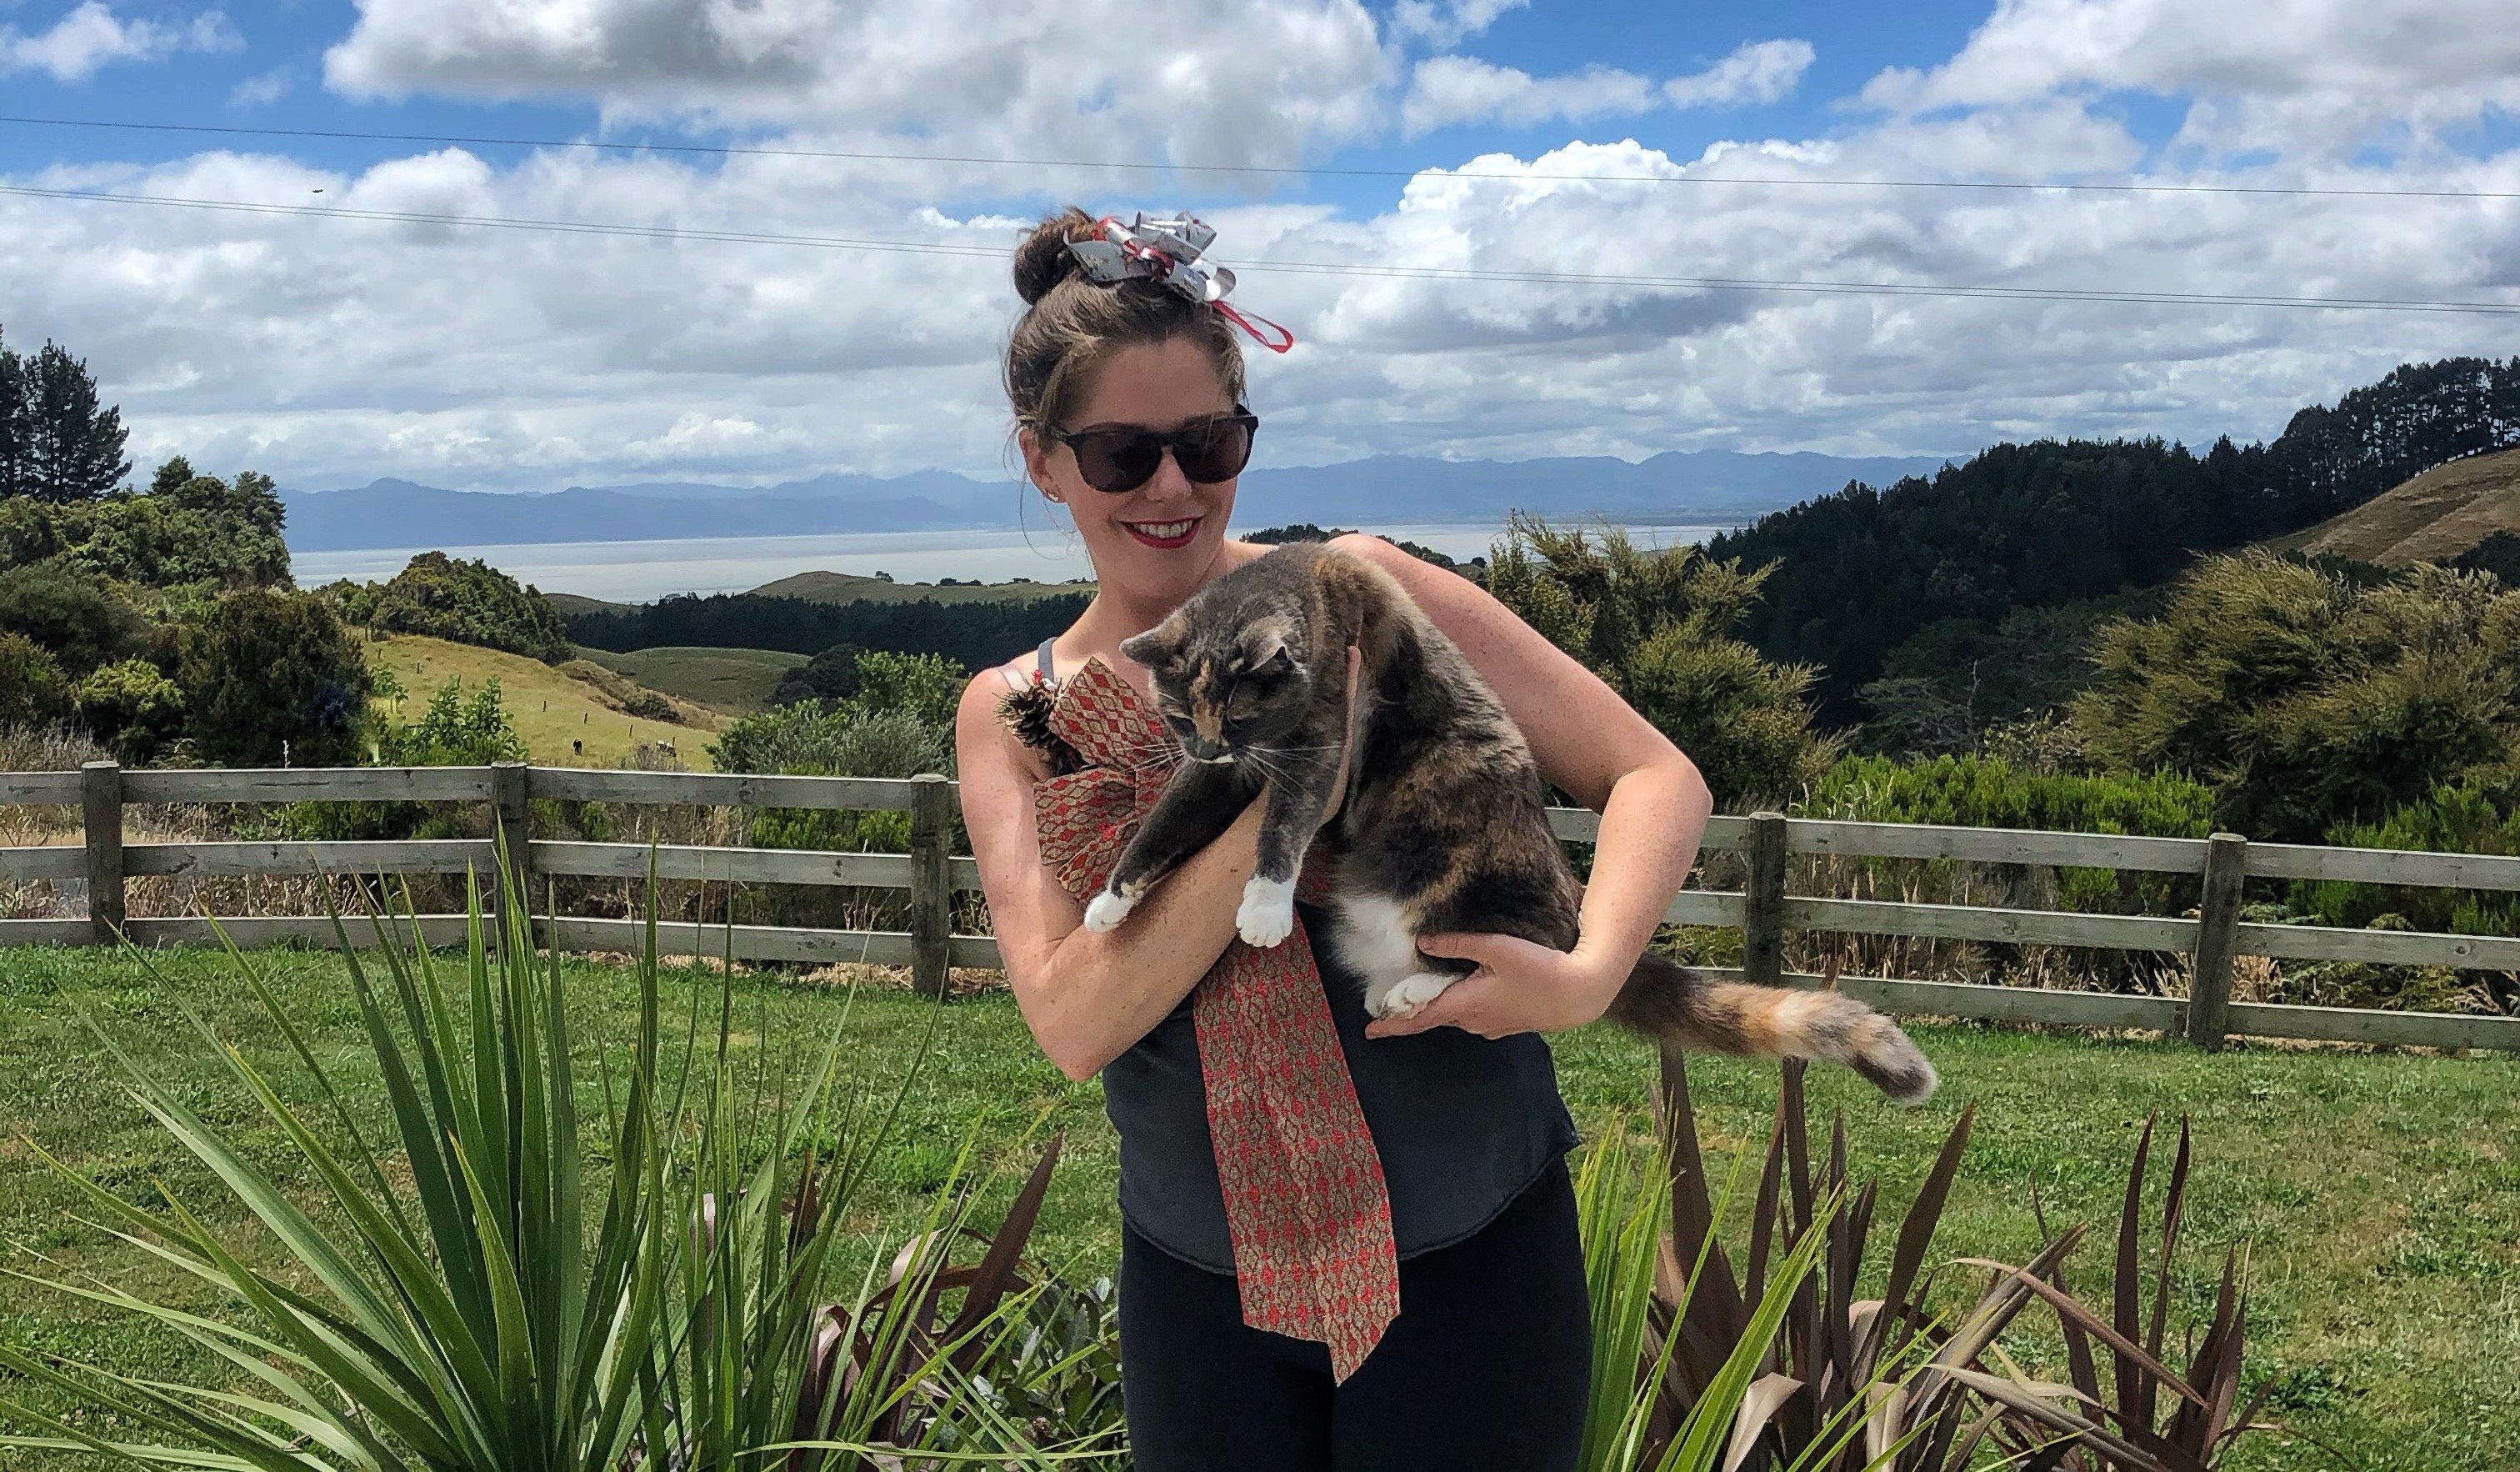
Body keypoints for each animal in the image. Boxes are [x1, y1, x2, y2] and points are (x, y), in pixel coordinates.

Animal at [1063, 539, 1925, 1104]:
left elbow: (1287, 819)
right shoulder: (1218, 777)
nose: (1210, 744)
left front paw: (1265, 906)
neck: (1298, 583)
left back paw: (1415, 992)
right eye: (1182, 716)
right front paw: (1109, 903)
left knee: (1491, 954)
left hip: (1467, 888)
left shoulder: (1321, 733)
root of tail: (1577, 909)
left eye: (1239, 714)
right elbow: (1164, 823)